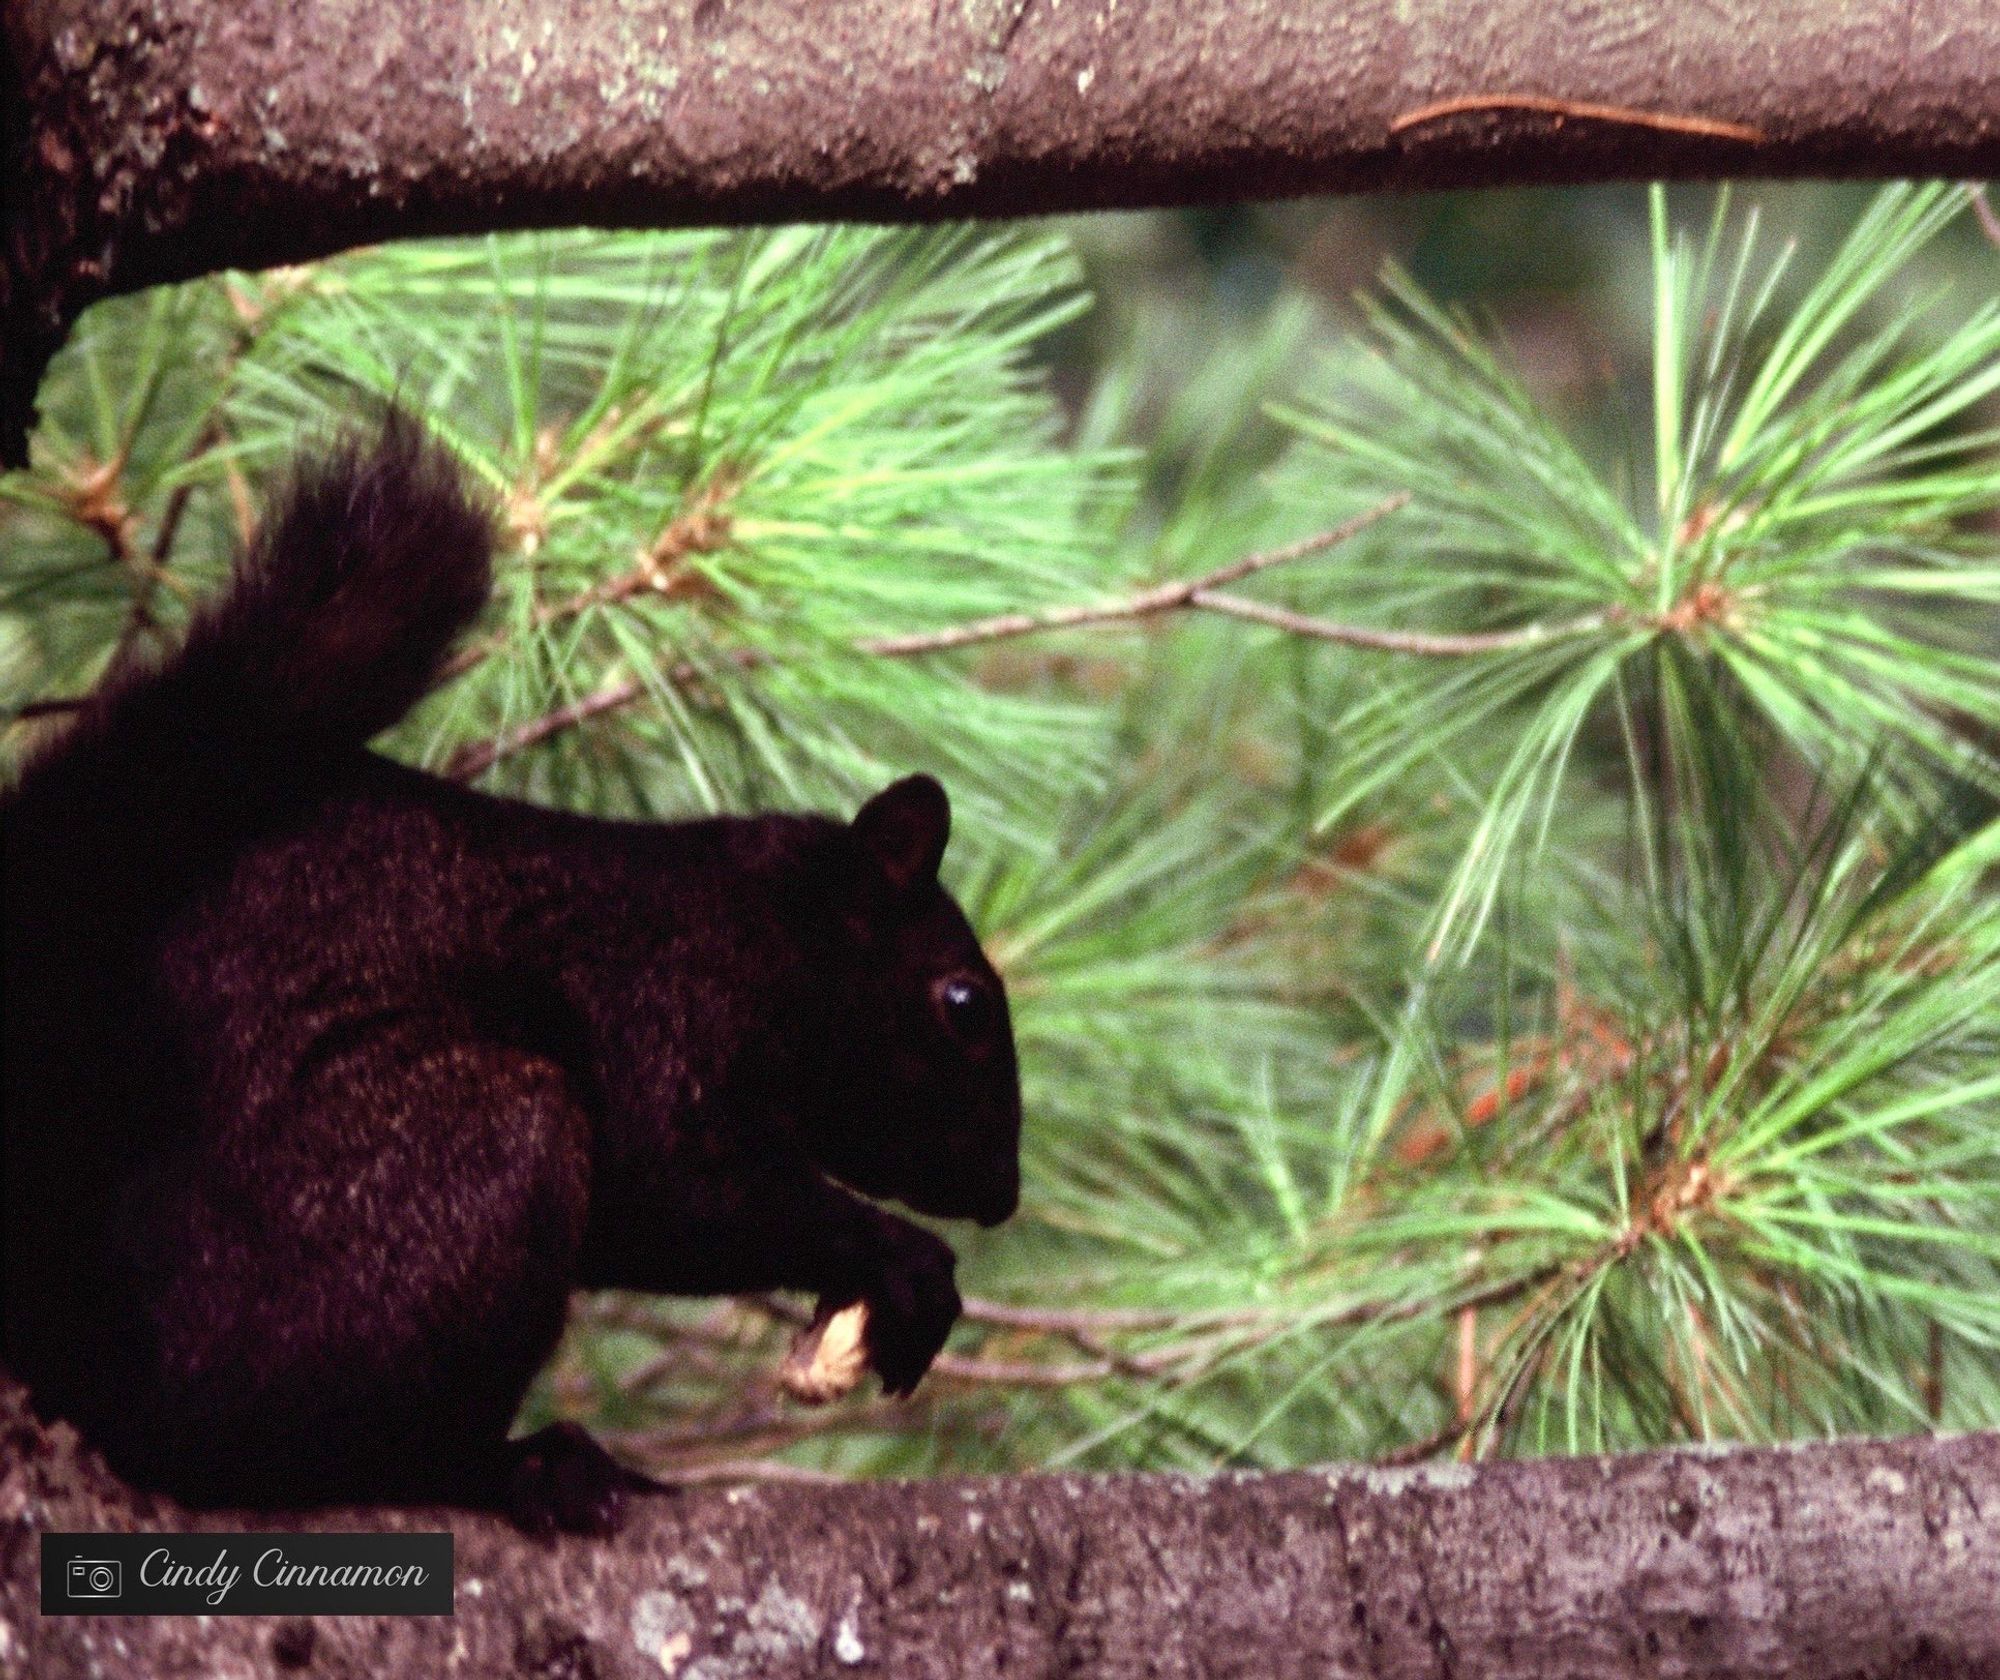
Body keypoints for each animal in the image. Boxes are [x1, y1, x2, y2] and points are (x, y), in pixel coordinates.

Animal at [0, 416, 1024, 1536]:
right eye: (963, 1003)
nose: (1005, 1191)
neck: (766, 932)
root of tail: (89, 1353)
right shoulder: (663, 1004)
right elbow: (683, 1185)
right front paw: (903, 1261)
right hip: (475, 1152)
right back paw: (524, 1467)